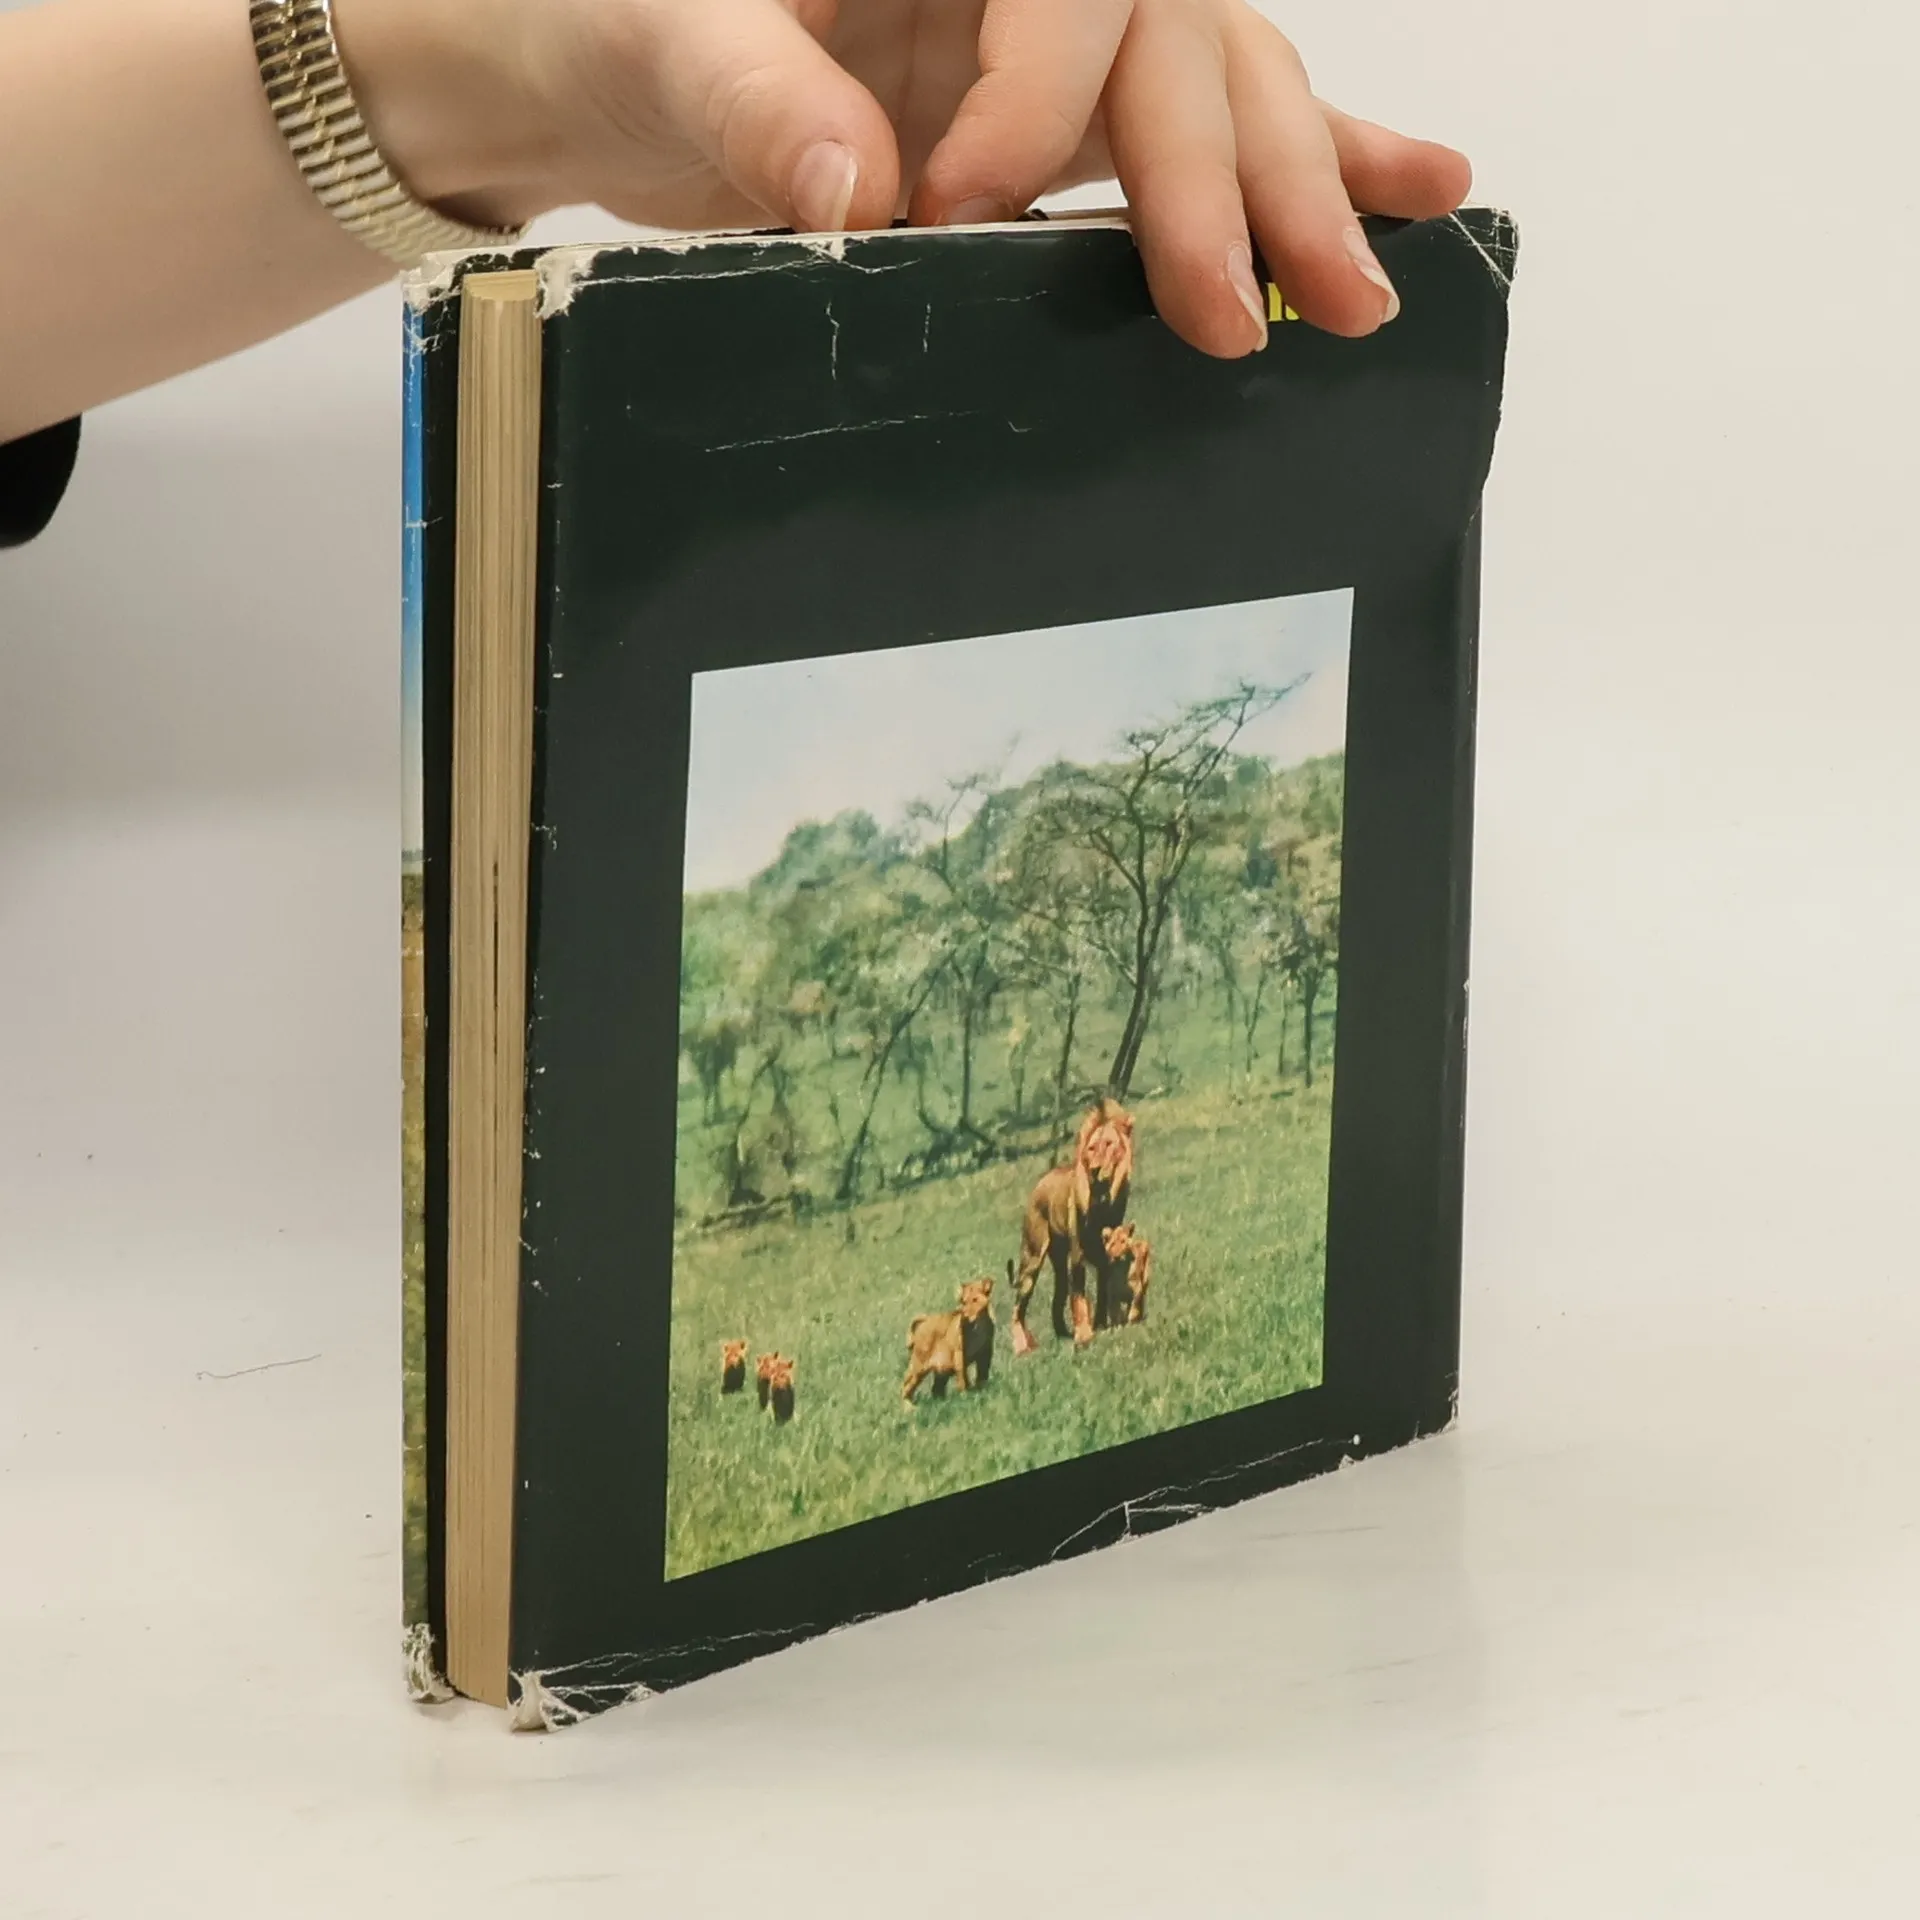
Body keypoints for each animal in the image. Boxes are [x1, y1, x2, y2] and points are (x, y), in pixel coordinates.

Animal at [1010, 1099, 1135, 1352]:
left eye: (1109, 1144)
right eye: (1091, 1148)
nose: (1095, 1169)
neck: (1103, 1200)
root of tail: (1041, 1181)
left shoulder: (1106, 1254)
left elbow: (1103, 1289)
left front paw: (1102, 1325)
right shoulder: (1078, 1256)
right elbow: (1079, 1297)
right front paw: (1085, 1336)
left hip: (1057, 1258)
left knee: (1058, 1297)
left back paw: (1062, 1334)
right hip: (1032, 1257)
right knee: (1018, 1305)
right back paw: (1022, 1346)